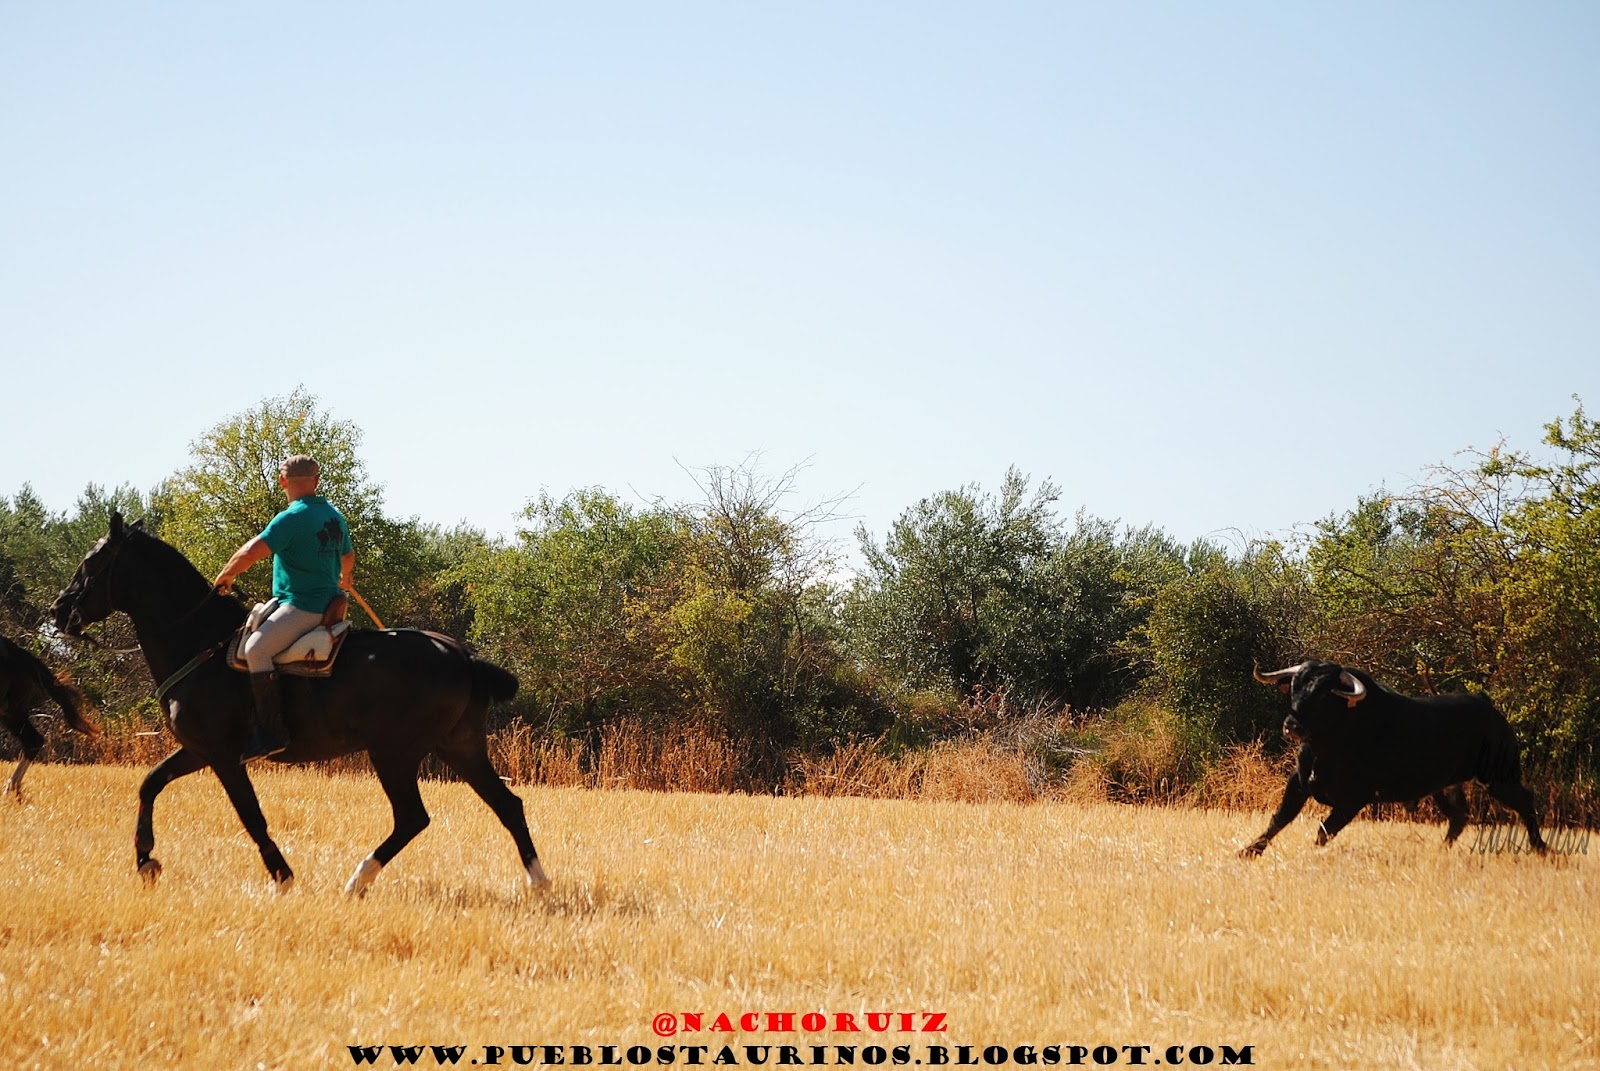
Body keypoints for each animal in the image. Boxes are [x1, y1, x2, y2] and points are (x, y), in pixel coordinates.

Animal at [1, 632, 98, 796]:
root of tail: (20, 655)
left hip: (10, 712)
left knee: (33, 740)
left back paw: (11, 789)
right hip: (12, 713)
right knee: (34, 741)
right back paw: (13, 790)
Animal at [49, 512, 550, 896]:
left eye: (93, 562)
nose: (58, 610)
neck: (200, 642)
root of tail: (462, 656)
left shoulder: (224, 756)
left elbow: (251, 816)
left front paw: (282, 876)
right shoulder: (197, 750)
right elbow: (149, 784)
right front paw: (146, 861)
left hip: (394, 753)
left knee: (412, 817)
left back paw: (357, 879)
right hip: (459, 747)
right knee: (508, 805)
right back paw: (539, 883)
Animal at [1239, 659, 1547, 858]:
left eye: (1326, 695)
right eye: (1295, 686)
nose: (1292, 726)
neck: (1324, 750)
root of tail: (1490, 708)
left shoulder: (1354, 799)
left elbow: (1323, 831)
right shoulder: (1299, 783)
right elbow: (1279, 819)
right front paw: (1248, 850)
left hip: (1499, 777)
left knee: (1525, 801)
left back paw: (1541, 847)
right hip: (1445, 786)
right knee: (1459, 817)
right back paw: (1441, 851)